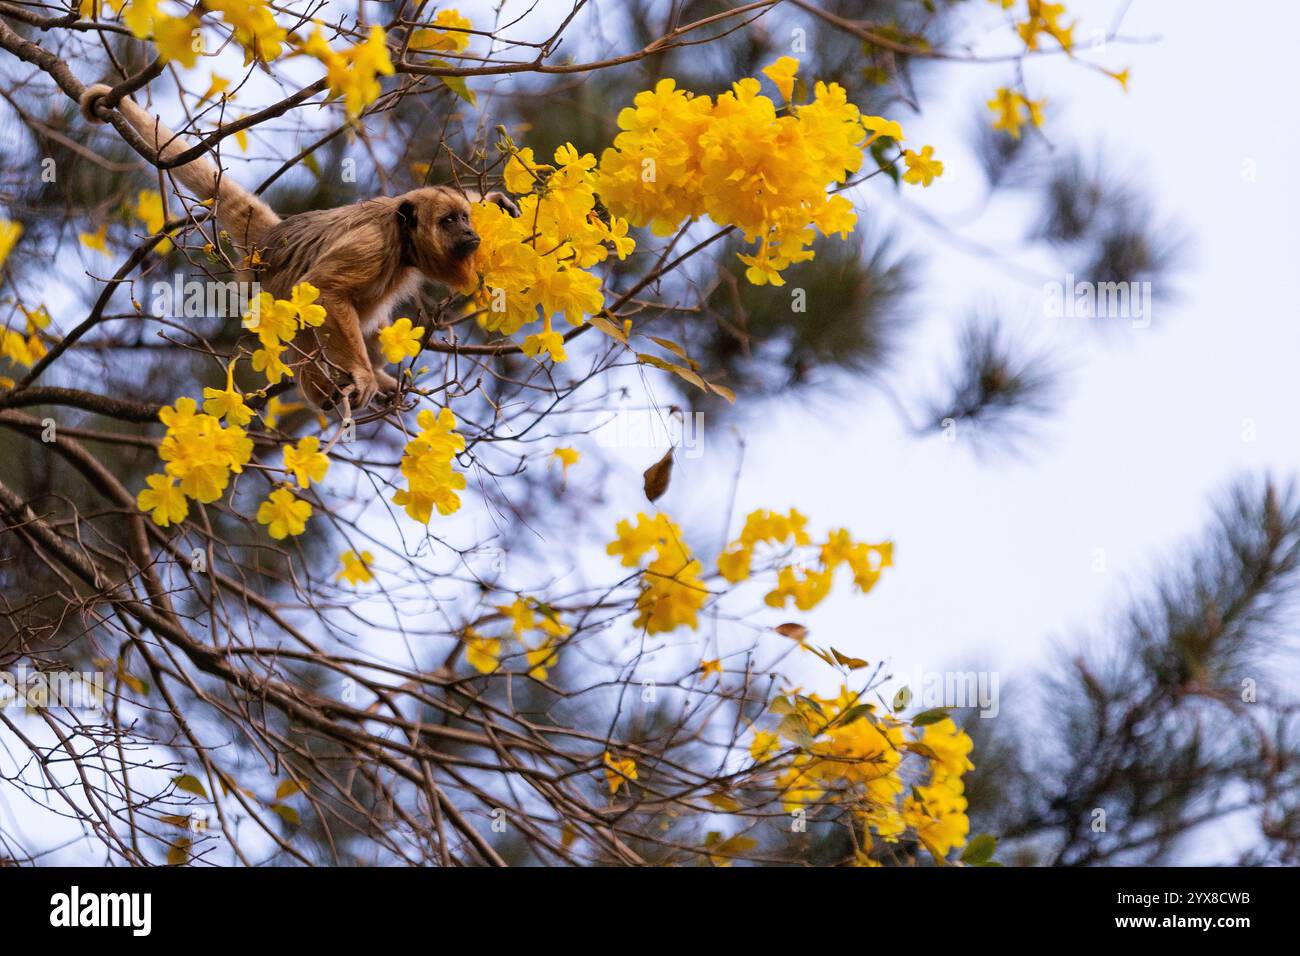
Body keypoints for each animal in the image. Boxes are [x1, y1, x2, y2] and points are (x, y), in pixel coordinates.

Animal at [79, 83, 518, 410]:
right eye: (448, 221)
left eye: (464, 217)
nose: (470, 233)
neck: (403, 242)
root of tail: (272, 238)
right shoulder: (373, 245)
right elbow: (325, 289)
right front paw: (361, 375)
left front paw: (496, 203)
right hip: (266, 290)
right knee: (303, 310)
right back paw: (327, 392)